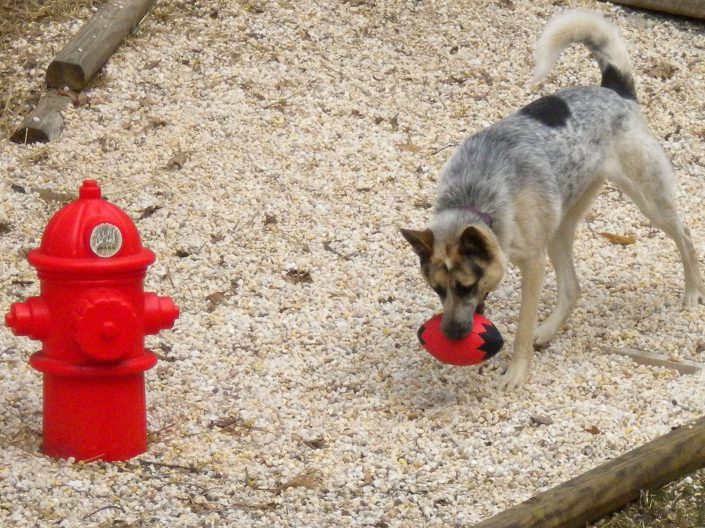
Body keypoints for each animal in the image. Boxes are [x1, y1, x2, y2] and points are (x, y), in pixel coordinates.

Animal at [402, 11, 704, 392]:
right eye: (437, 289)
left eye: (465, 286)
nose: (453, 337)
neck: (477, 197)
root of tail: (614, 90)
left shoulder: (533, 265)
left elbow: (521, 328)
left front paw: (516, 373)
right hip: (561, 227)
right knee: (573, 288)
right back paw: (547, 330)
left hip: (649, 199)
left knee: (685, 235)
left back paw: (693, 291)